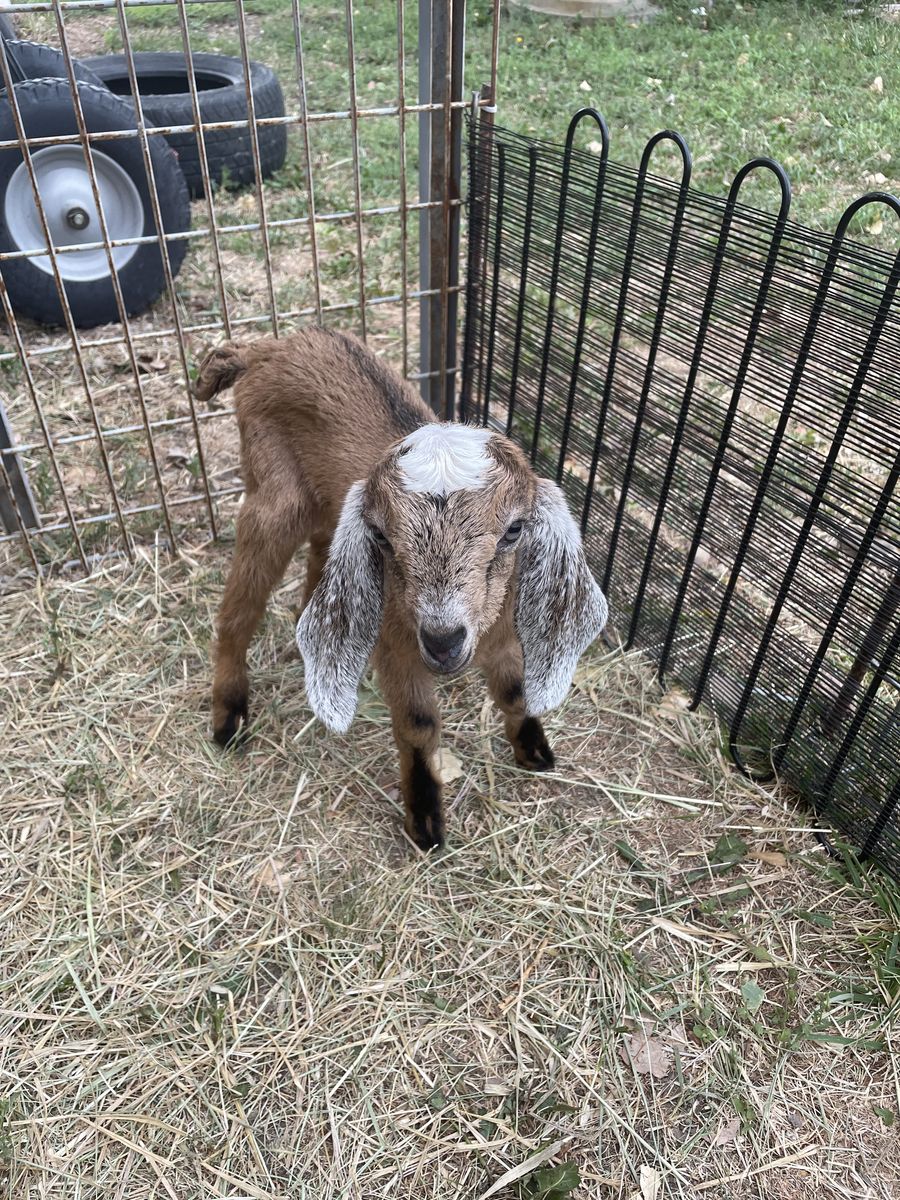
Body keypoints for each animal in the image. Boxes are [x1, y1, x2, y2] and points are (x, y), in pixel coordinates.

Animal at [196, 327, 608, 851]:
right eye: (383, 537)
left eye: (515, 529)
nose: (442, 640)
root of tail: (262, 348)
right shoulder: (397, 647)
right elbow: (418, 724)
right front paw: (425, 822)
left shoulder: (505, 637)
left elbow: (516, 691)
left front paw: (534, 750)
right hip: (273, 495)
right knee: (238, 608)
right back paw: (228, 718)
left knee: (319, 548)